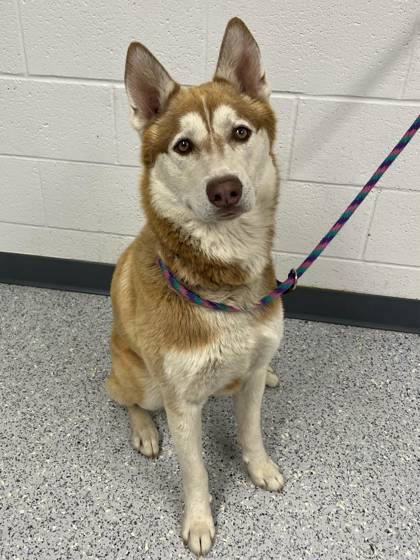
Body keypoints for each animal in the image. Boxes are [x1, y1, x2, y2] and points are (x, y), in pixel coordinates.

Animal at [106, 17, 286, 556]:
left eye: (241, 132)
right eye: (183, 146)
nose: (225, 188)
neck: (224, 286)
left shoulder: (250, 375)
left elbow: (252, 433)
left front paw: (259, 468)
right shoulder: (182, 405)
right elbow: (196, 473)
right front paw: (200, 523)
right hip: (142, 383)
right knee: (122, 397)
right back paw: (144, 431)